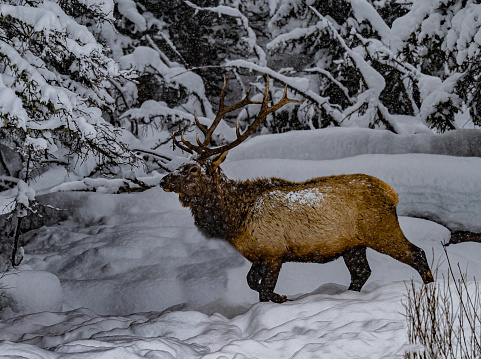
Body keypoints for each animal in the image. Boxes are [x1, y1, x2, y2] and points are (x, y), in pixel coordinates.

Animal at [159, 76, 434, 304]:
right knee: (361, 272)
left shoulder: (274, 251)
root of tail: (392, 193)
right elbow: (252, 283)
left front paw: (280, 298)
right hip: (353, 245)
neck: (235, 220)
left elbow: (264, 289)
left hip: (382, 229)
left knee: (417, 254)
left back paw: (430, 289)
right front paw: (281, 297)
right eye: (181, 164)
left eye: (193, 169)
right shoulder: (258, 254)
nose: (163, 180)